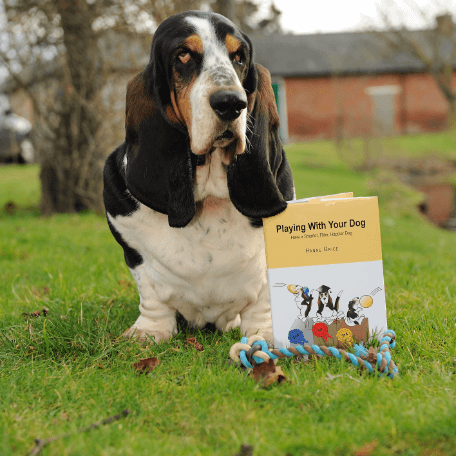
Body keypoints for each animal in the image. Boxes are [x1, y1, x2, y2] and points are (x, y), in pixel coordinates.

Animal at [103, 9, 294, 342]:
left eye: (238, 57)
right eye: (183, 55)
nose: (231, 103)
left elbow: (264, 298)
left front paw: (266, 335)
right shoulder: (133, 248)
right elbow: (149, 291)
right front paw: (149, 333)